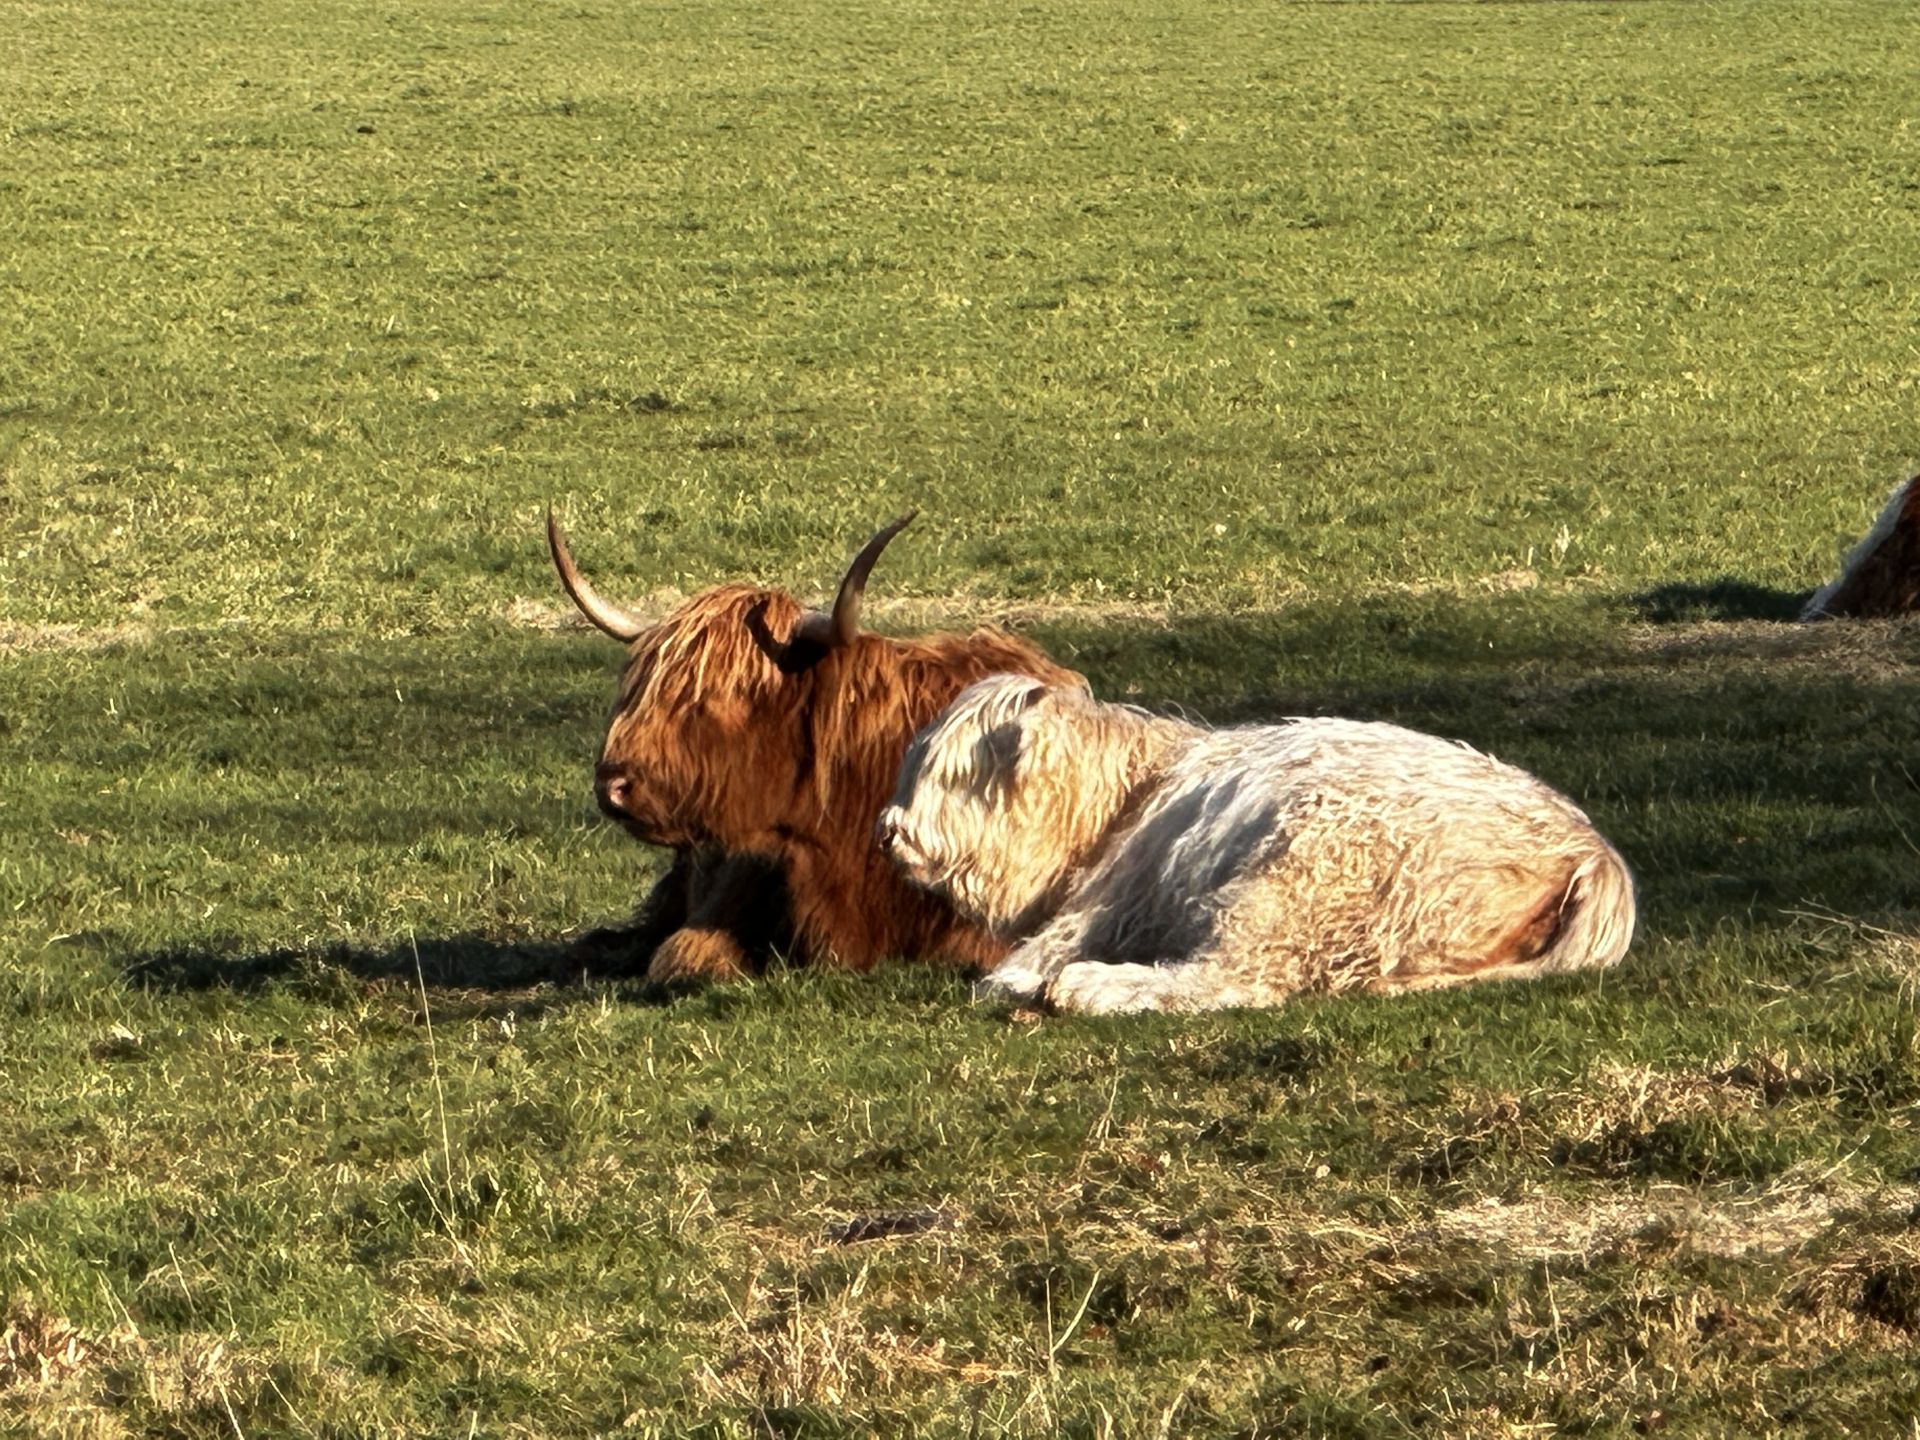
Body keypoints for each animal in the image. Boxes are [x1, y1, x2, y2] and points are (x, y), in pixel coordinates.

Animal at [878, 675, 1636, 1014]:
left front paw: (1020, 979)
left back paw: (1090, 986)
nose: (889, 830)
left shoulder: (1101, 908)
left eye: (955, 775)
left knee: (1236, 979)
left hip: (1295, 880)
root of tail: (1592, 855)